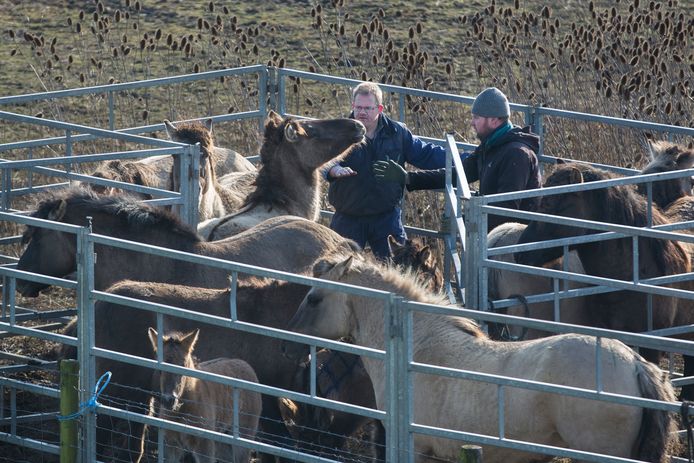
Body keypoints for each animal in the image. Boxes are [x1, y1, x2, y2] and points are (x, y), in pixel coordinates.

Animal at [143, 328, 262, 463]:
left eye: (183, 365)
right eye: (159, 367)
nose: (169, 400)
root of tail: (246, 365)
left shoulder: (204, 446)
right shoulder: (171, 445)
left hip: (243, 436)